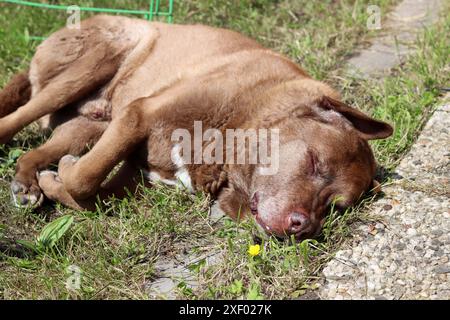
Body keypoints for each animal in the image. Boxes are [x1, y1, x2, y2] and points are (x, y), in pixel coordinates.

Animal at [0, 15, 394, 240]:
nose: (303, 227)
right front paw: (65, 173)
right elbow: (83, 180)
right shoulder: (138, 114)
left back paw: (27, 183)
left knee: (37, 150)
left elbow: (90, 196)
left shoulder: (133, 176)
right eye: (313, 162)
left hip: (89, 124)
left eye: (335, 207)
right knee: (14, 119)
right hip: (94, 62)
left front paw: (53, 181)